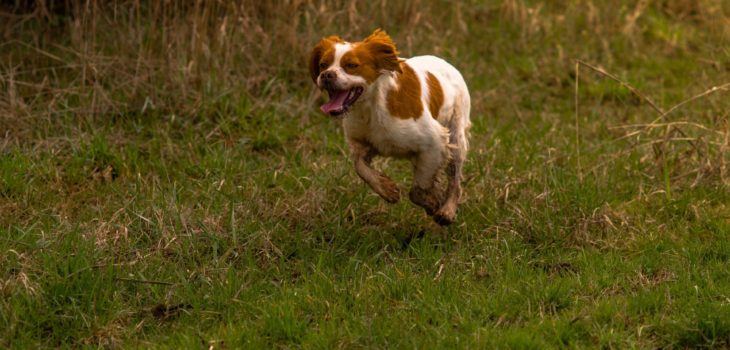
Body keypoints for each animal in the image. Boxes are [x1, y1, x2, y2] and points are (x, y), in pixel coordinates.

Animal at [308, 28, 472, 226]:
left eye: (351, 65)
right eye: (323, 64)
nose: (326, 75)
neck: (370, 107)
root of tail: (447, 64)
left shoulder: (435, 141)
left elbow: (417, 190)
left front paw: (433, 203)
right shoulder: (362, 144)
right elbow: (359, 166)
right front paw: (387, 189)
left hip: (456, 137)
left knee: (455, 180)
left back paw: (447, 211)